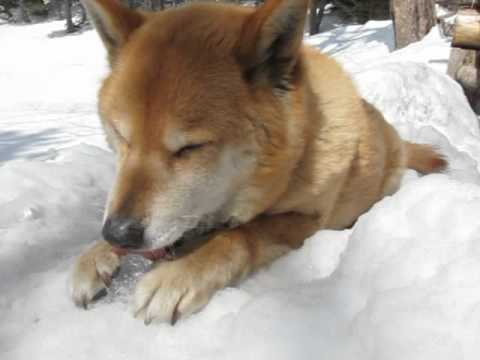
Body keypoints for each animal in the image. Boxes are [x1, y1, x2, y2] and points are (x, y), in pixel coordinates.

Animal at [71, 0, 446, 324]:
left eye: (190, 148)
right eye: (122, 137)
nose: (119, 234)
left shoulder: (305, 219)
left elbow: (242, 234)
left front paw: (180, 273)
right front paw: (96, 254)